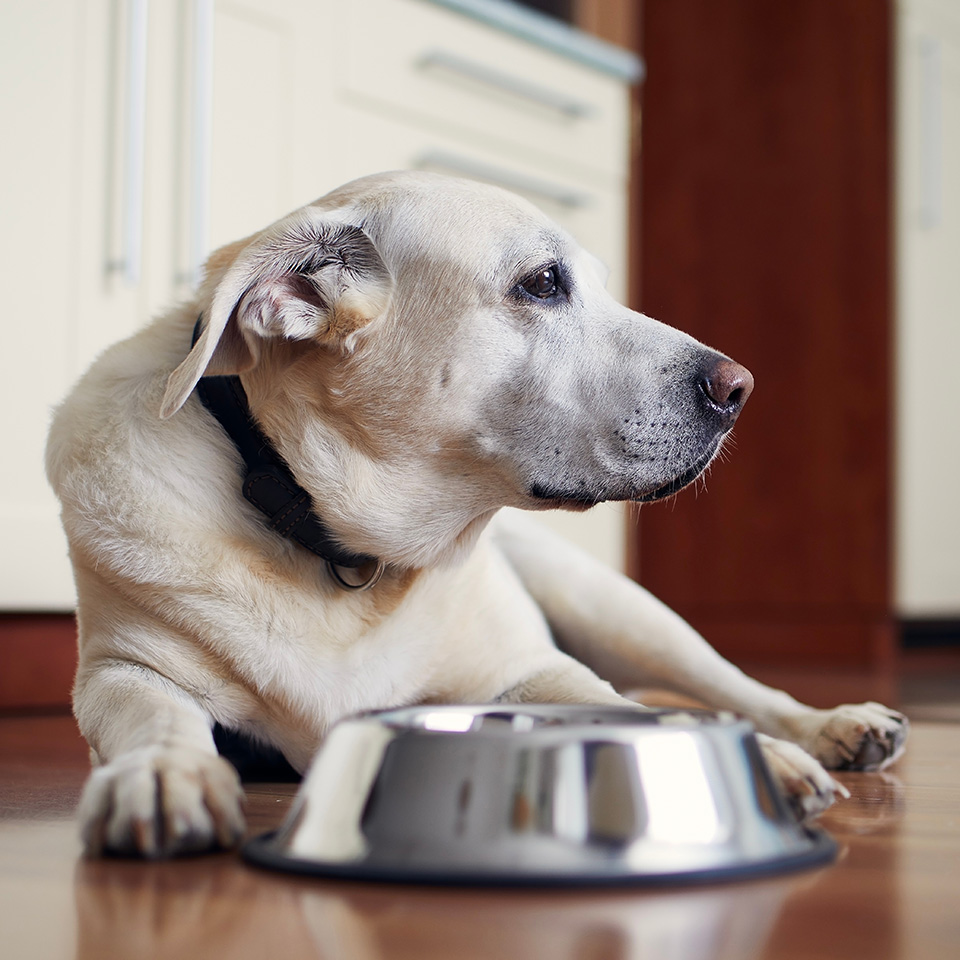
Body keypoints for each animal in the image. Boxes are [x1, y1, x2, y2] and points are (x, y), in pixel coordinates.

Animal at [47, 171, 908, 856]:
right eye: (543, 283)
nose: (740, 390)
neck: (341, 545)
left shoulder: (531, 669)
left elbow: (617, 707)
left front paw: (765, 758)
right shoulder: (122, 671)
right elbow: (155, 717)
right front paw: (165, 772)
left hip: (618, 609)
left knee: (730, 682)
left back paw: (830, 725)